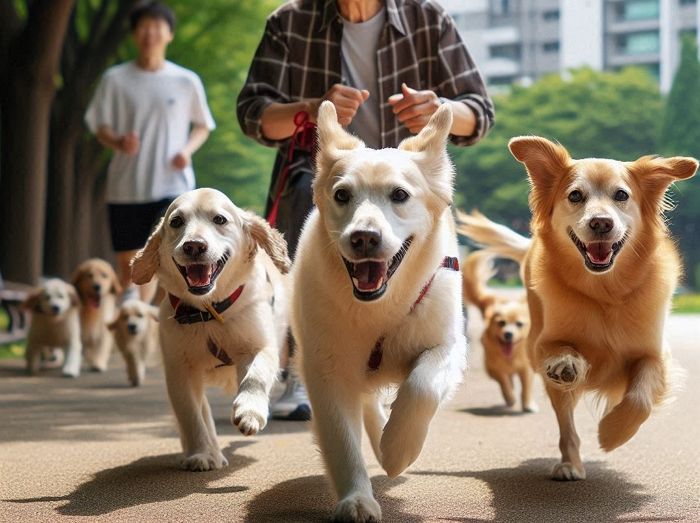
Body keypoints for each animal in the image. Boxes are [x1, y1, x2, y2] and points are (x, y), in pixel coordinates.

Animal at [131, 189, 290, 474]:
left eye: (219, 219)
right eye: (176, 222)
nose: (194, 245)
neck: (209, 313)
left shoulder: (259, 346)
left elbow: (255, 376)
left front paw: (250, 412)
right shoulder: (179, 369)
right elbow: (191, 415)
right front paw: (201, 454)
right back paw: (212, 451)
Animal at [292, 101, 468, 520]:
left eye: (399, 194)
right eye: (342, 195)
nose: (364, 238)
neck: (380, 308)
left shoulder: (448, 345)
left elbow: (421, 387)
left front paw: (398, 449)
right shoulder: (326, 369)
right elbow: (342, 440)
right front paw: (356, 499)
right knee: (367, 401)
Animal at [462, 250, 532, 414]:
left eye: (519, 324)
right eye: (501, 323)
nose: (508, 334)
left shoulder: (525, 369)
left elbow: (526, 388)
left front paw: (528, 405)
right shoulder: (493, 369)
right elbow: (504, 382)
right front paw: (510, 397)